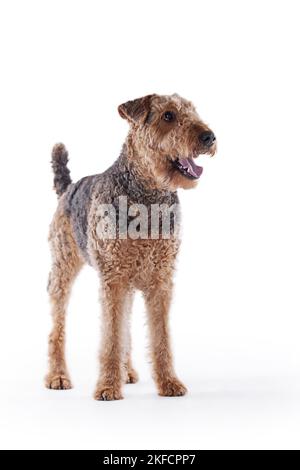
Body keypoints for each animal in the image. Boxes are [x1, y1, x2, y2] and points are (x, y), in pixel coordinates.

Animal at [45, 92, 216, 400]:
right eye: (168, 115)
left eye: (193, 111)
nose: (209, 137)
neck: (148, 196)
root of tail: (68, 188)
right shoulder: (112, 279)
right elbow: (111, 338)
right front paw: (107, 387)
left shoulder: (160, 280)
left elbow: (160, 337)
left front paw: (169, 383)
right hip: (63, 271)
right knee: (58, 328)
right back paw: (58, 376)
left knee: (124, 327)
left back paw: (127, 372)